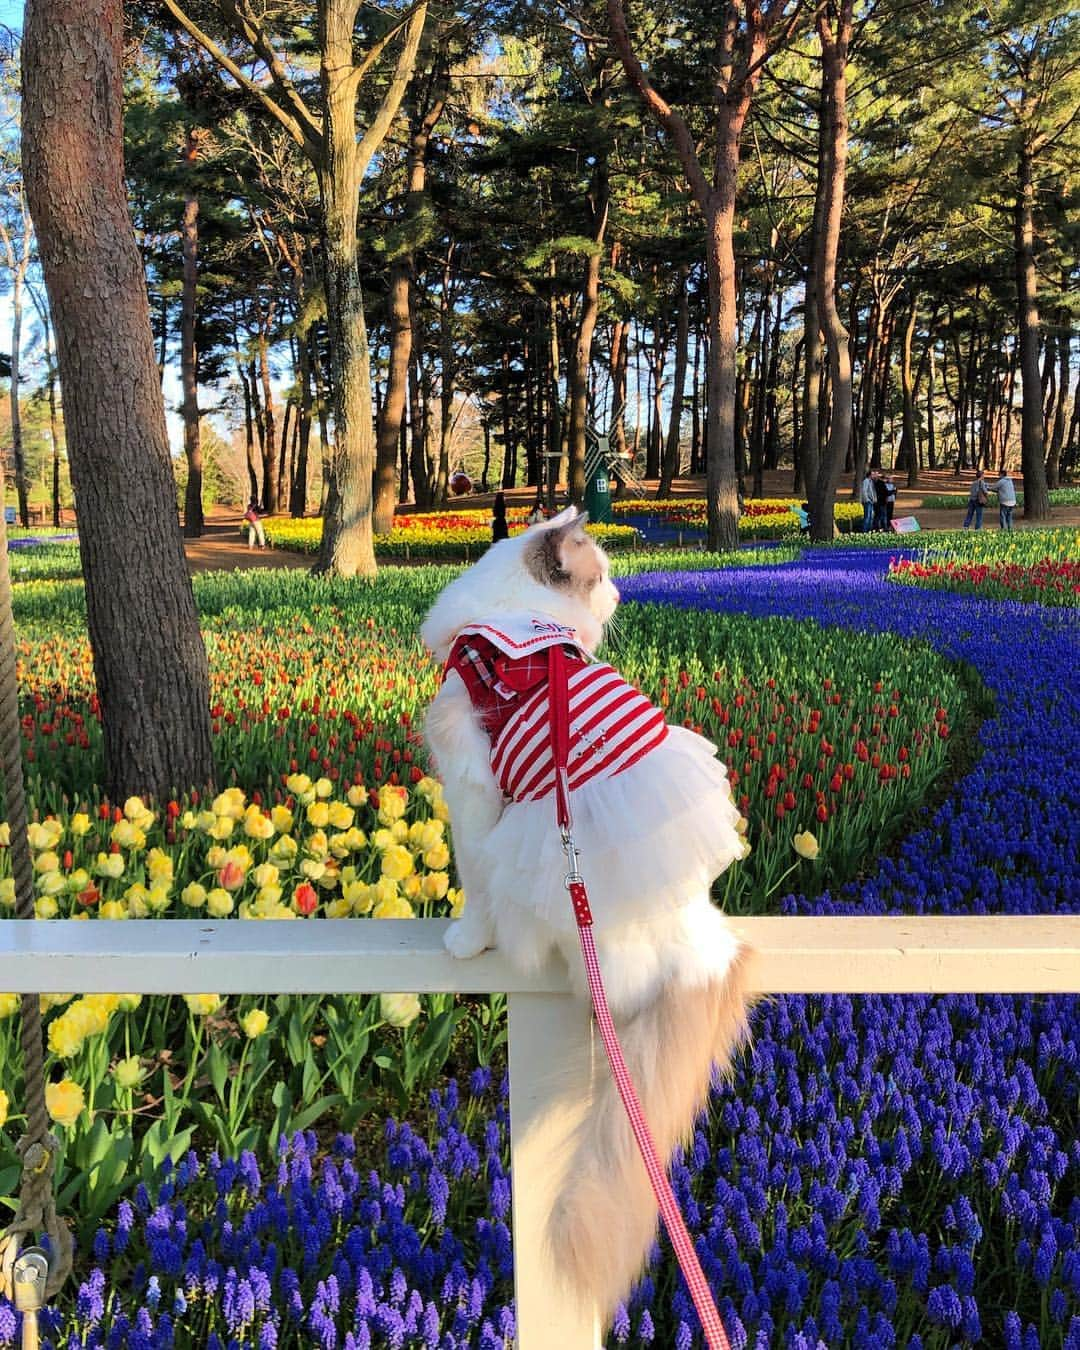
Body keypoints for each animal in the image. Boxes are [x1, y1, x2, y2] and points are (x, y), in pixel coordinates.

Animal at [421, 507, 750, 1328]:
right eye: (601, 576)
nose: (621, 595)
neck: (512, 628)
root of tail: (703, 952)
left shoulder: (474, 793)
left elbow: (472, 886)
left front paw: (464, 941)